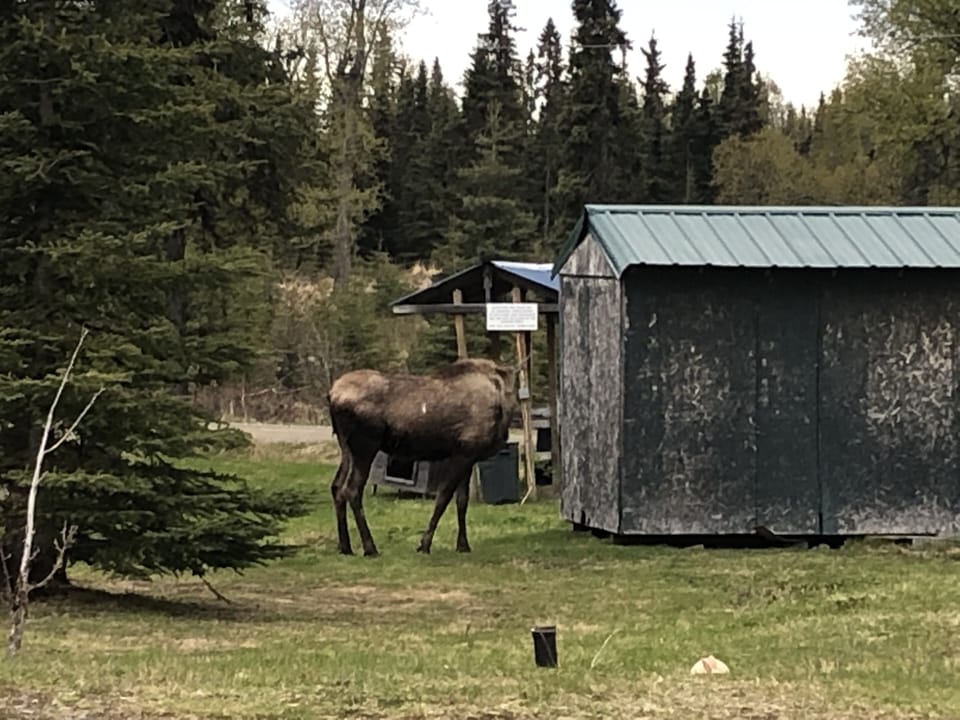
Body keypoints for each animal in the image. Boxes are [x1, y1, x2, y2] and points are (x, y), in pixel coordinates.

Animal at [326, 358, 520, 556]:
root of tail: (332, 395)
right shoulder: (462, 454)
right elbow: (443, 498)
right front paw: (424, 544)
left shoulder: (468, 458)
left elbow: (462, 501)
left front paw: (463, 545)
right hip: (365, 447)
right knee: (352, 489)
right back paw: (370, 547)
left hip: (346, 450)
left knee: (337, 487)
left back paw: (345, 546)